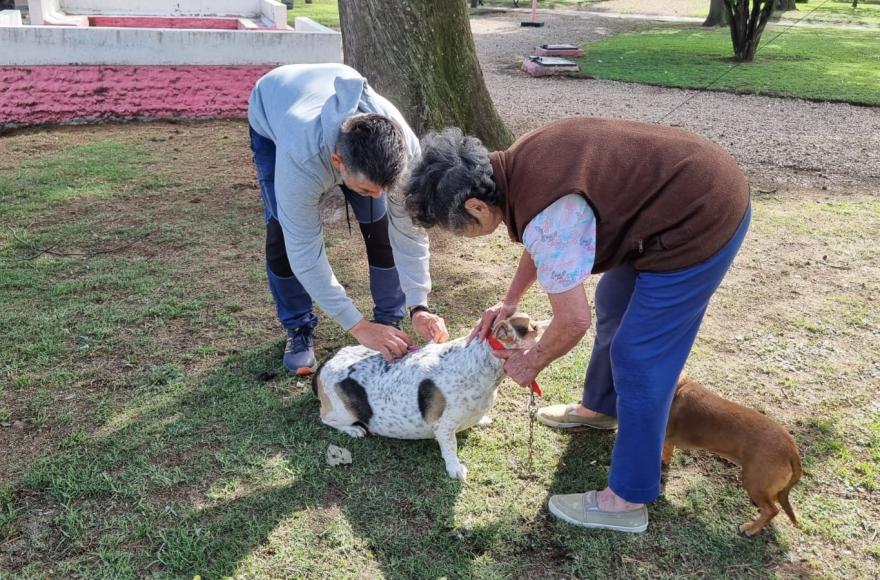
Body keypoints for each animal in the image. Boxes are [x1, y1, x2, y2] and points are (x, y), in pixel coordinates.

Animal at [310, 314, 544, 478]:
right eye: (533, 328)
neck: (480, 360)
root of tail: (325, 363)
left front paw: (482, 420)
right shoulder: (444, 427)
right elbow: (450, 447)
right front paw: (455, 468)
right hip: (341, 412)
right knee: (325, 419)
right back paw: (354, 429)